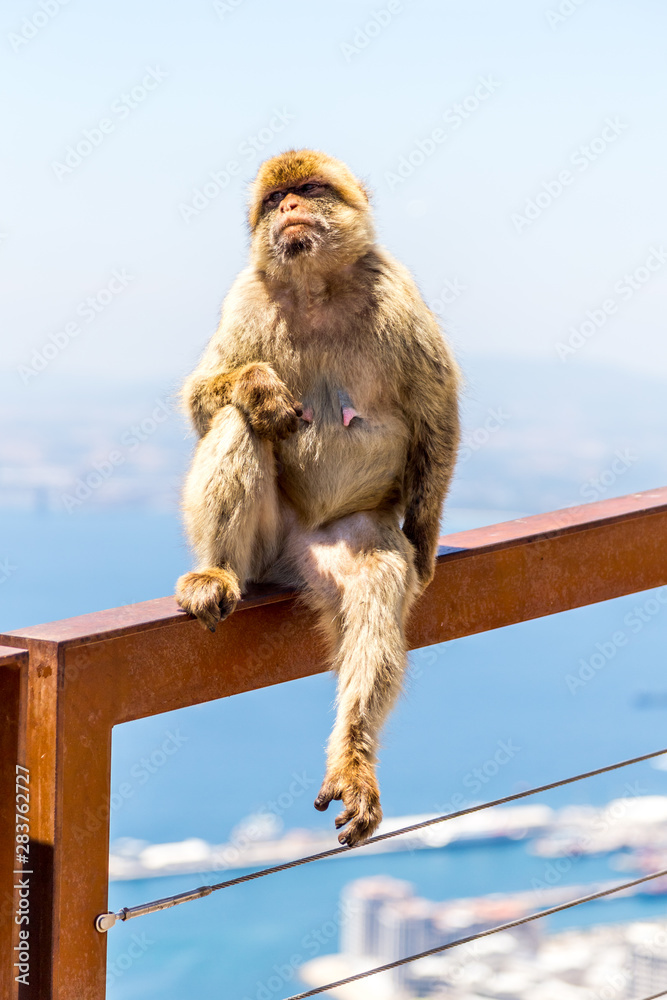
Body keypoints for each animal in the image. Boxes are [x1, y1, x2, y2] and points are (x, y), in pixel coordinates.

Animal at [175, 149, 460, 847]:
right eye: (274, 199)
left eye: (308, 188)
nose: (289, 207)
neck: (317, 287)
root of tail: (289, 559)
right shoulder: (245, 297)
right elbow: (206, 398)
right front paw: (258, 387)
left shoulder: (397, 292)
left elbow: (435, 409)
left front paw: (426, 538)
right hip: (265, 546)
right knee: (238, 423)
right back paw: (214, 571)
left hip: (340, 543)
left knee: (377, 585)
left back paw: (353, 759)